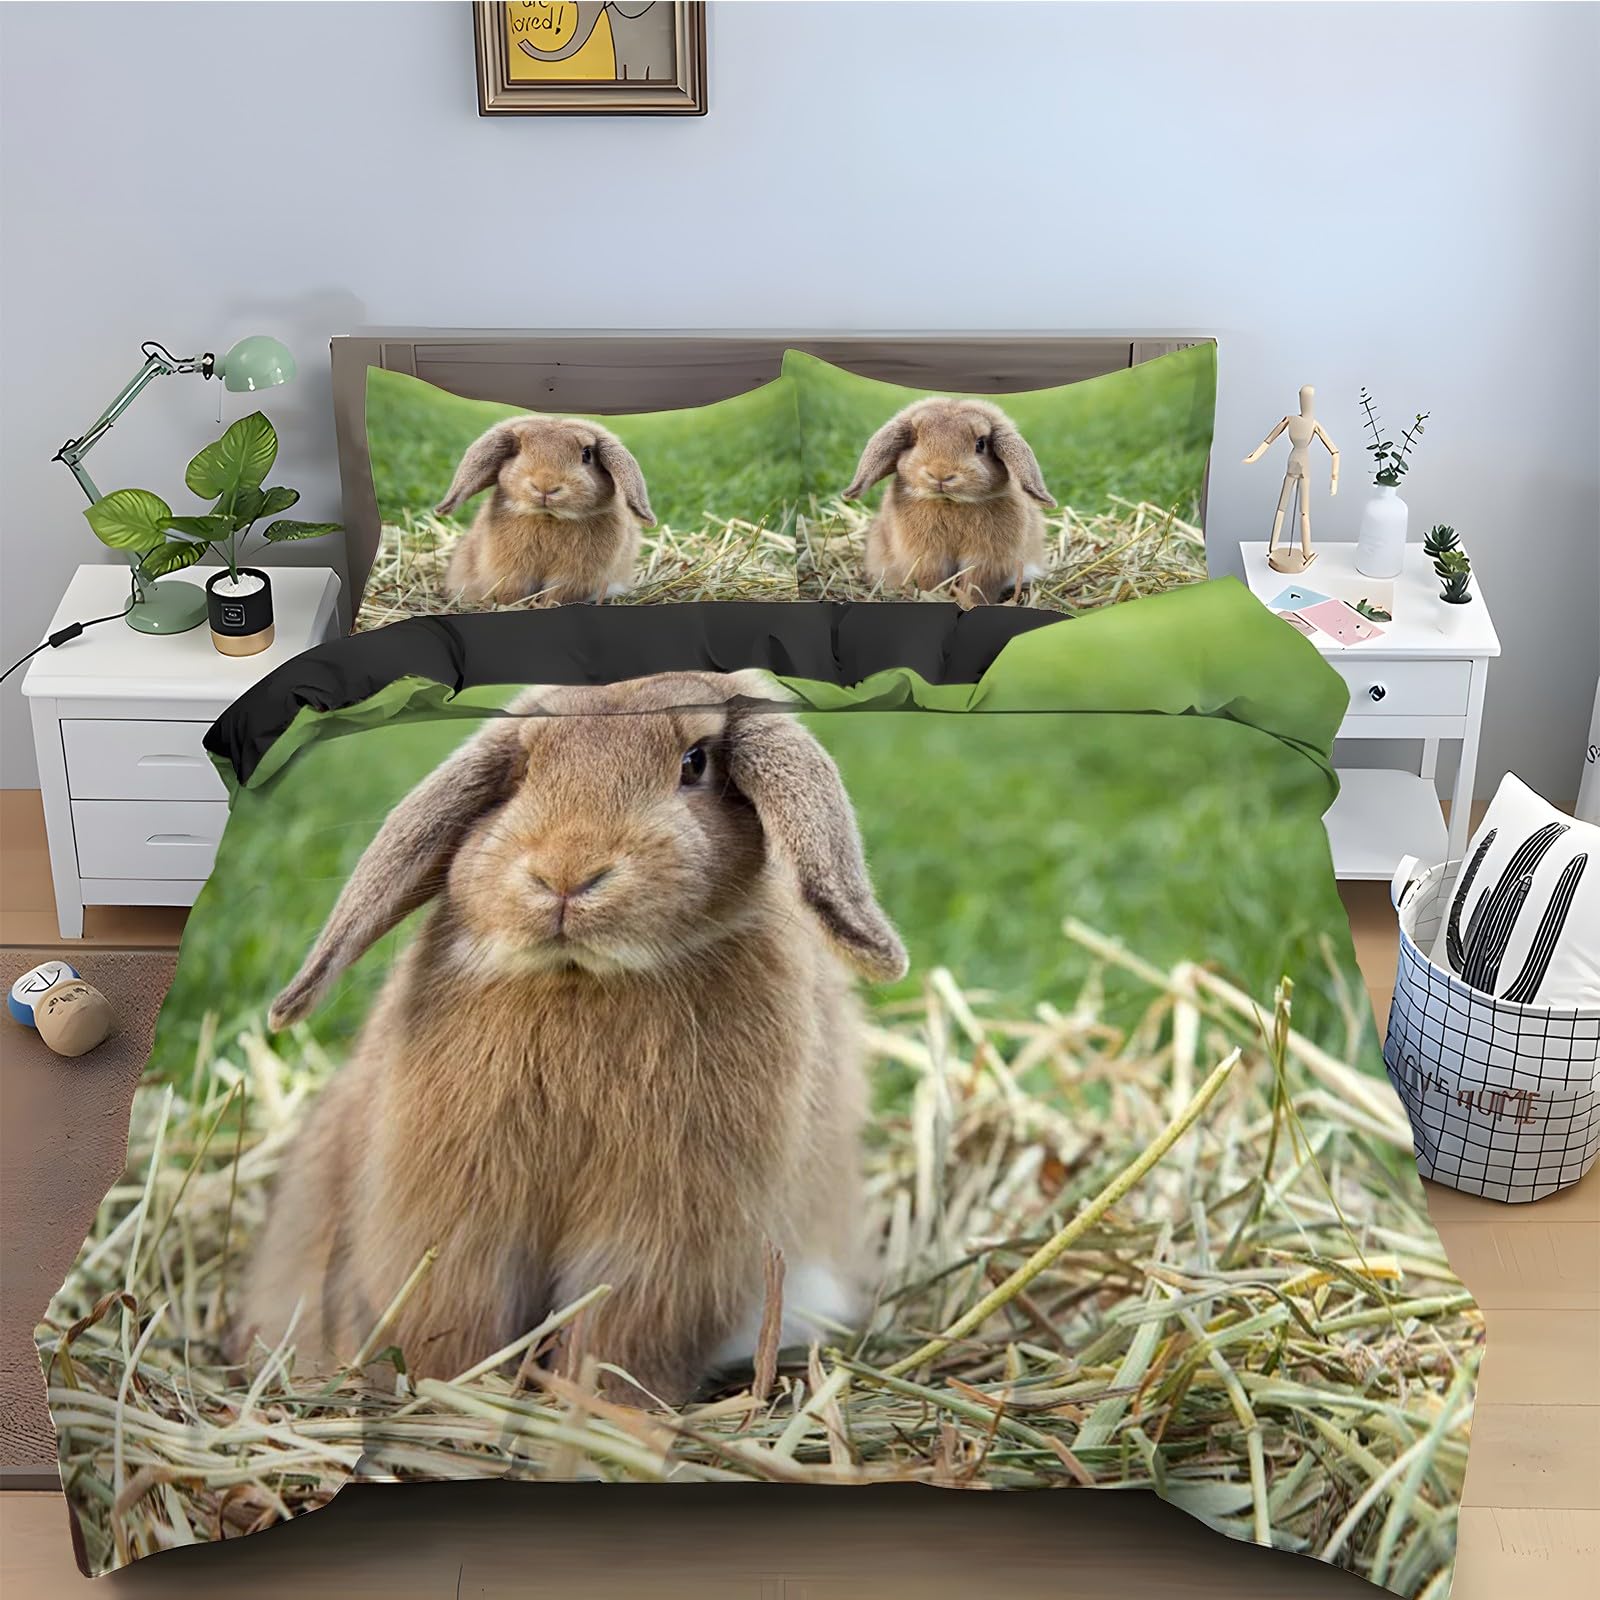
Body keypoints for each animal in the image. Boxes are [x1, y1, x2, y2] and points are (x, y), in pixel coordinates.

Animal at [237, 671, 907, 1408]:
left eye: (695, 763)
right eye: (524, 768)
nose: (565, 875)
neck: (581, 977)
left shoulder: (661, 1235)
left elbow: (612, 1331)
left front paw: (597, 1405)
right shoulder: (457, 1221)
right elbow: (456, 1318)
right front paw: (456, 1392)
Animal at [435, 416, 655, 606]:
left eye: (587, 454)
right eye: (519, 449)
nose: (545, 486)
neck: (549, 518)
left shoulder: (573, 577)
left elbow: (556, 595)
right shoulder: (512, 572)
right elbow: (512, 593)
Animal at [845, 398, 1056, 606]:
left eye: (980, 444)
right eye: (916, 439)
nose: (940, 474)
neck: (950, 503)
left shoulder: (986, 560)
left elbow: (976, 584)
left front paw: (970, 602)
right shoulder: (927, 557)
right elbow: (932, 581)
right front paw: (935, 596)